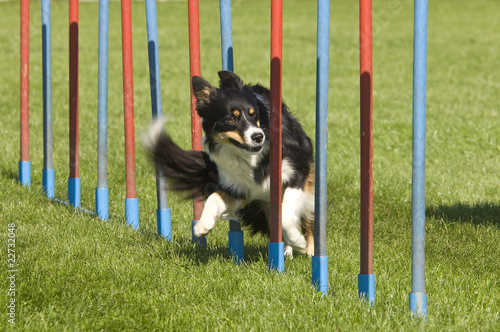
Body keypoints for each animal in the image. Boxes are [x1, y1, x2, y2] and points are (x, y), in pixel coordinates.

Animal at [146, 71, 314, 255]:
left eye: (253, 114)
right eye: (231, 119)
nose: (258, 136)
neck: (250, 157)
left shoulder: (298, 170)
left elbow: (286, 215)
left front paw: (298, 241)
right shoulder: (240, 189)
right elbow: (214, 197)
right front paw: (202, 225)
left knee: (307, 221)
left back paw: (310, 251)